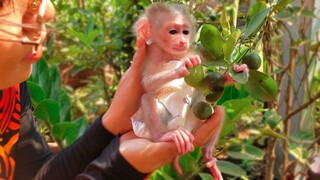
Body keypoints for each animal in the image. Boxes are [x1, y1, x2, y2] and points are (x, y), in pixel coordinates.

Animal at [131, 2, 224, 179]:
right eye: (173, 31)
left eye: (185, 32)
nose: (182, 41)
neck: (170, 55)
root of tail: (183, 128)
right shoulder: (152, 54)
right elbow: (147, 84)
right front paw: (180, 69)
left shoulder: (191, 53)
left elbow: (204, 86)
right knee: (147, 98)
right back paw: (165, 136)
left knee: (219, 111)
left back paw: (208, 155)